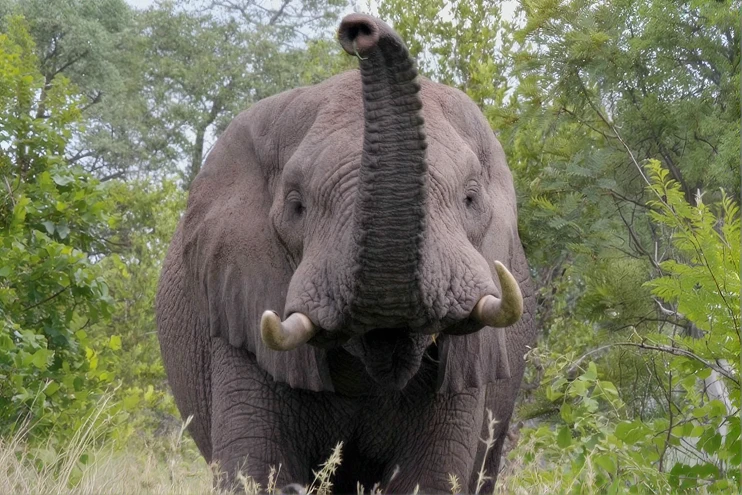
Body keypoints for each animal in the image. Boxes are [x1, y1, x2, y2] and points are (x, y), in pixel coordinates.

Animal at [156, 13, 536, 494]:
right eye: (296, 206)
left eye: (470, 199)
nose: (358, 30)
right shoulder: (238, 315)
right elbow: (255, 469)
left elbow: (430, 477)